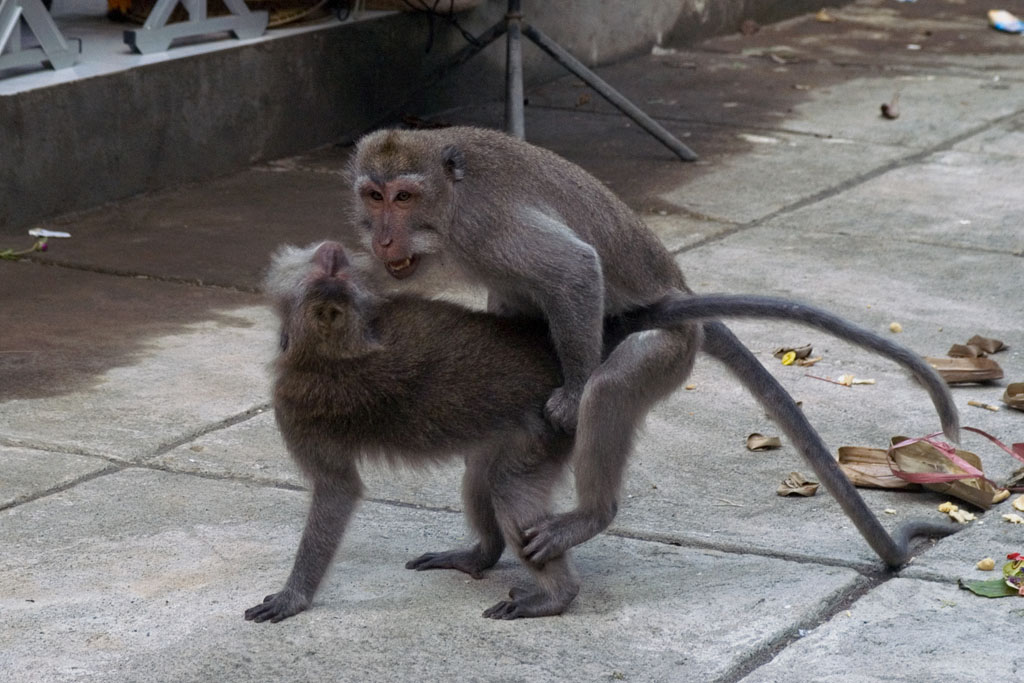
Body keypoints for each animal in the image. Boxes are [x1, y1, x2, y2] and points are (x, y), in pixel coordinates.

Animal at [247, 240, 958, 626]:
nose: (333, 255)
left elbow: (336, 492)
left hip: (551, 422)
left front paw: (295, 595)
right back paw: (481, 555)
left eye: (330, 271)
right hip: (541, 428)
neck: (334, 340)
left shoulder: (293, 406)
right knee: (487, 473)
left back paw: (557, 593)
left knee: (508, 483)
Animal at [346, 125, 958, 569]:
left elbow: (574, 270)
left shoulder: (488, 226)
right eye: (373, 196)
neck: (449, 204)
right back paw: (481, 553)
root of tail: (678, 294)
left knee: (613, 387)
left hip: (668, 350)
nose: (382, 237)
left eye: (404, 196)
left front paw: (571, 391)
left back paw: (592, 512)